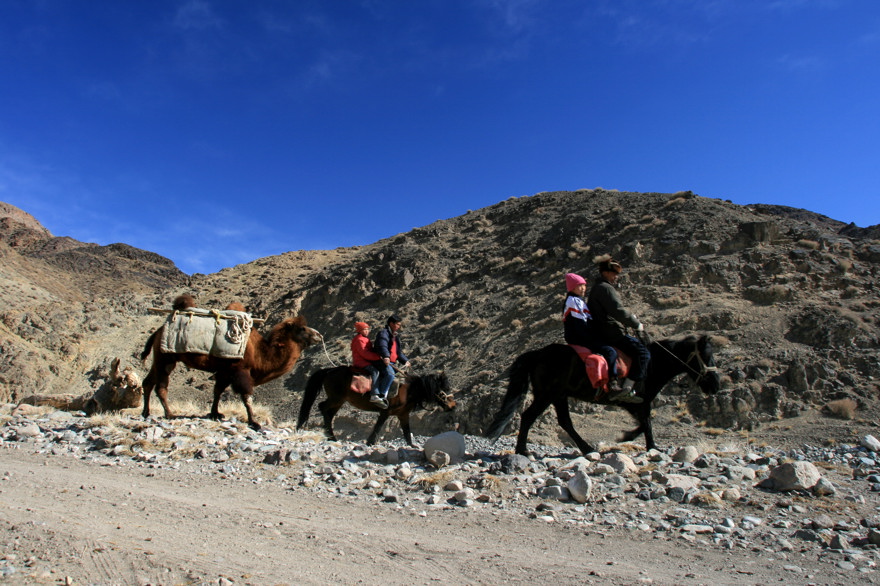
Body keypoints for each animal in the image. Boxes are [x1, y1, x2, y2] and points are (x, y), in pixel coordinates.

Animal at [141, 296, 324, 428]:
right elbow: (246, 396)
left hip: (161, 357)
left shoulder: (225, 371)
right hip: (166, 357)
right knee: (161, 386)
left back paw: (145, 412)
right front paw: (254, 422)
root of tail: (158, 331)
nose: (319, 335)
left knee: (148, 382)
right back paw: (169, 414)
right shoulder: (240, 370)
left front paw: (215, 414)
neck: (260, 353)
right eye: (302, 329)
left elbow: (217, 391)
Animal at [300, 368, 458, 444]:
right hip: (335, 398)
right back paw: (331, 437)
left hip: (339, 401)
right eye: (443, 389)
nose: (453, 405)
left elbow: (407, 433)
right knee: (322, 407)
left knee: (329, 413)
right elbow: (377, 428)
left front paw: (412, 446)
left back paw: (331, 436)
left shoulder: (403, 415)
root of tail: (328, 371)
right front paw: (370, 442)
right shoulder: (385, 412)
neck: (409, 391)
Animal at [484, 334, 720, 452]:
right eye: (707, 356)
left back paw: (587, 448)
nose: (716, 385)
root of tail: (538, 354)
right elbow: (647, 424)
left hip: (559, 396)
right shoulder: (639, 401)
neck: (653, 364)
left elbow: (643, 424)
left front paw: (627, 437)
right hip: (547, 394)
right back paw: (523, 450)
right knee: (528, 416)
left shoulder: (635, 403)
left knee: (564, 422)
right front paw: (651, 446)